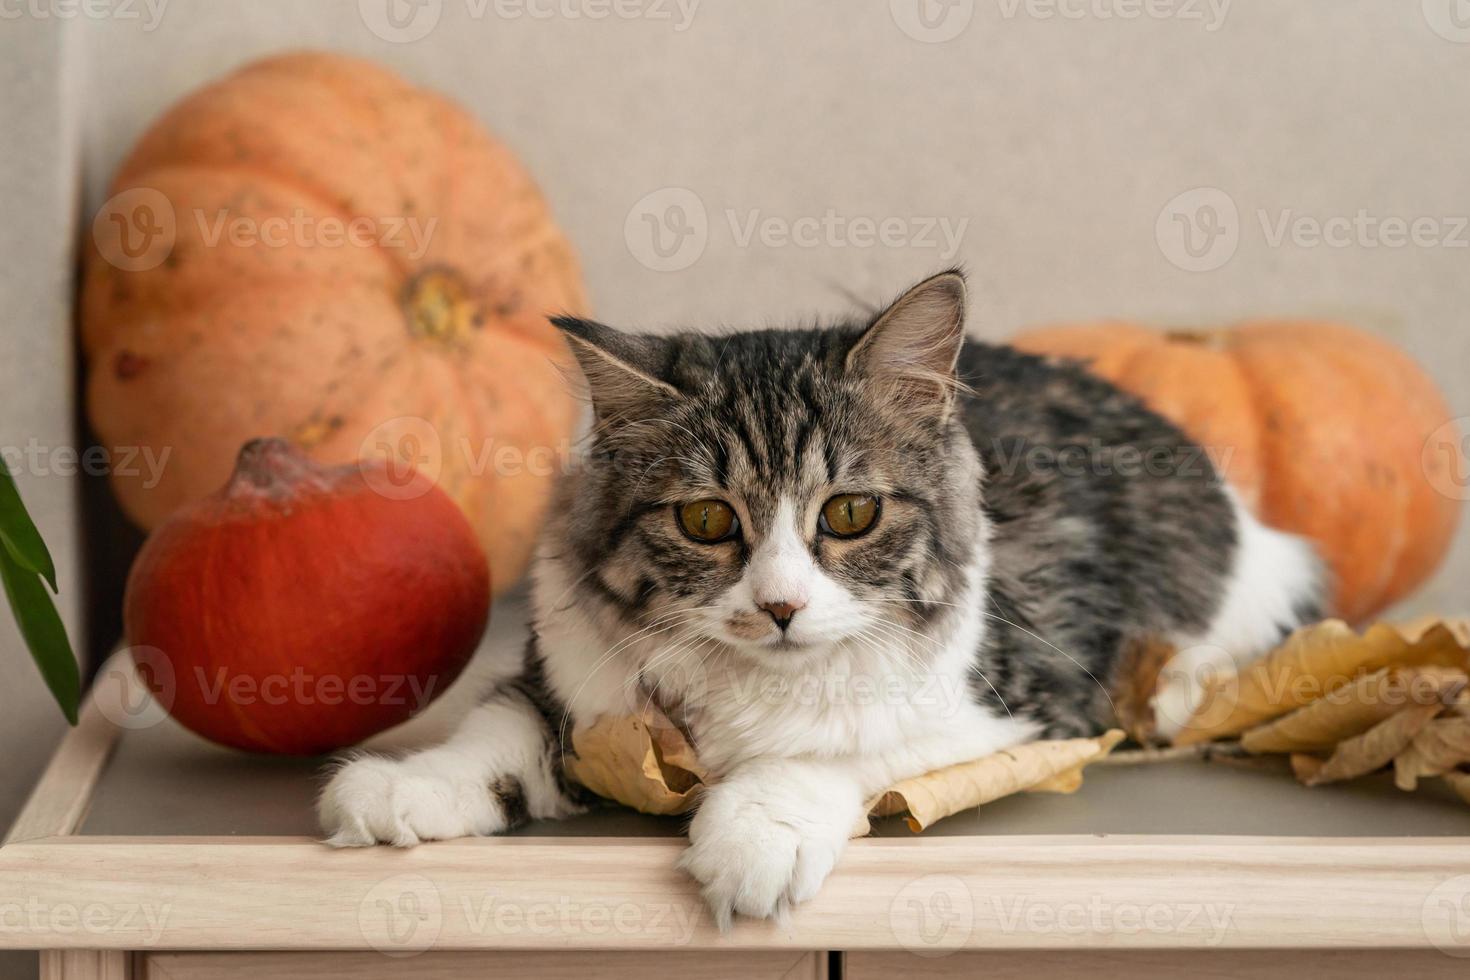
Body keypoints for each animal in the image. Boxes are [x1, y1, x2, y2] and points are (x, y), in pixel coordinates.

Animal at [316, 270, 1328, 928]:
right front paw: (405, 786)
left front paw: (751, 838)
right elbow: (498, 731)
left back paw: (1182, 684)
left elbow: (835, 751)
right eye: (707, 520)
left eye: (848, 513)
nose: (781, 608)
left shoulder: (1017, 709)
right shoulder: (574, 681)